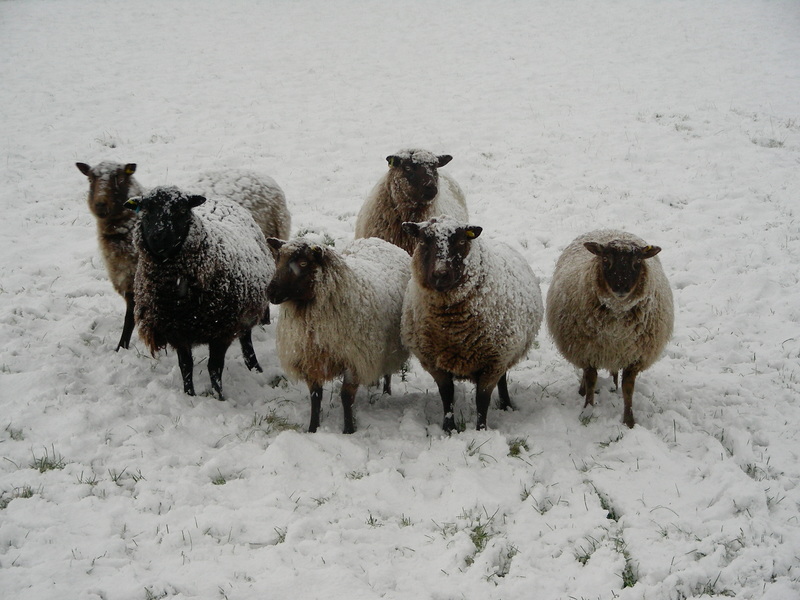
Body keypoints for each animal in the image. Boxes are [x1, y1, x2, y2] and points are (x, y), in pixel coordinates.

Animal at [76, 163, 290, 352]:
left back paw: (264, 323)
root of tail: (265, 178)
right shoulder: (133, 282)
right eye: (91, 179)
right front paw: (121, 347)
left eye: (119, 178)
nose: (100, 205)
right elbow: (129, 318)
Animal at [124, 185, 276, 400]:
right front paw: (189, 396)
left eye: (181, 210)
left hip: (246, 310)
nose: (159, 236)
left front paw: (220, 397)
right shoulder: (177, 332)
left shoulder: (221, 331)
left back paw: (255, 368)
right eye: (146, 210)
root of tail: (219, 197)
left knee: (246, 338)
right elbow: (186, 366)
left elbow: (214, 367)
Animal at [268, 234, 412, 432]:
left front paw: (348, 430)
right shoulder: (311, 359)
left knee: (388, 372)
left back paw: (385, 393)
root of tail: (379, 240)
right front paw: (313, 428)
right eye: (277, 259)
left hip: (389, 348)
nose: (270, 292)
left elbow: (346, 397)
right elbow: (315, 396)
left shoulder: (354, 359)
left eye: (303, 263)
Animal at [400, 216, 544, 432]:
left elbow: (482, 400)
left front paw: (481, 430)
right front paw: (448, 428)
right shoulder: (434, 362)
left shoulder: (493, 361)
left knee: (502, 379)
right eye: (424, 241)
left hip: (504, 351)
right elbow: (447, 395)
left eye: (461, 241)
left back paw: (506, 405)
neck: (451, 328)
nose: (440, 274)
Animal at [544, 227, 676, 428]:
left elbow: (628, 389)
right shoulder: (587, 352)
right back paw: (583, 390)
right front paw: (587, 411)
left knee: (615, 372)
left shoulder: (634, 358)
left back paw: (613, 386)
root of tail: (609, 229)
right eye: (606, 260)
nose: (621, 288)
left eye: (637, 262)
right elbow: (591, 379)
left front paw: (629, 421)